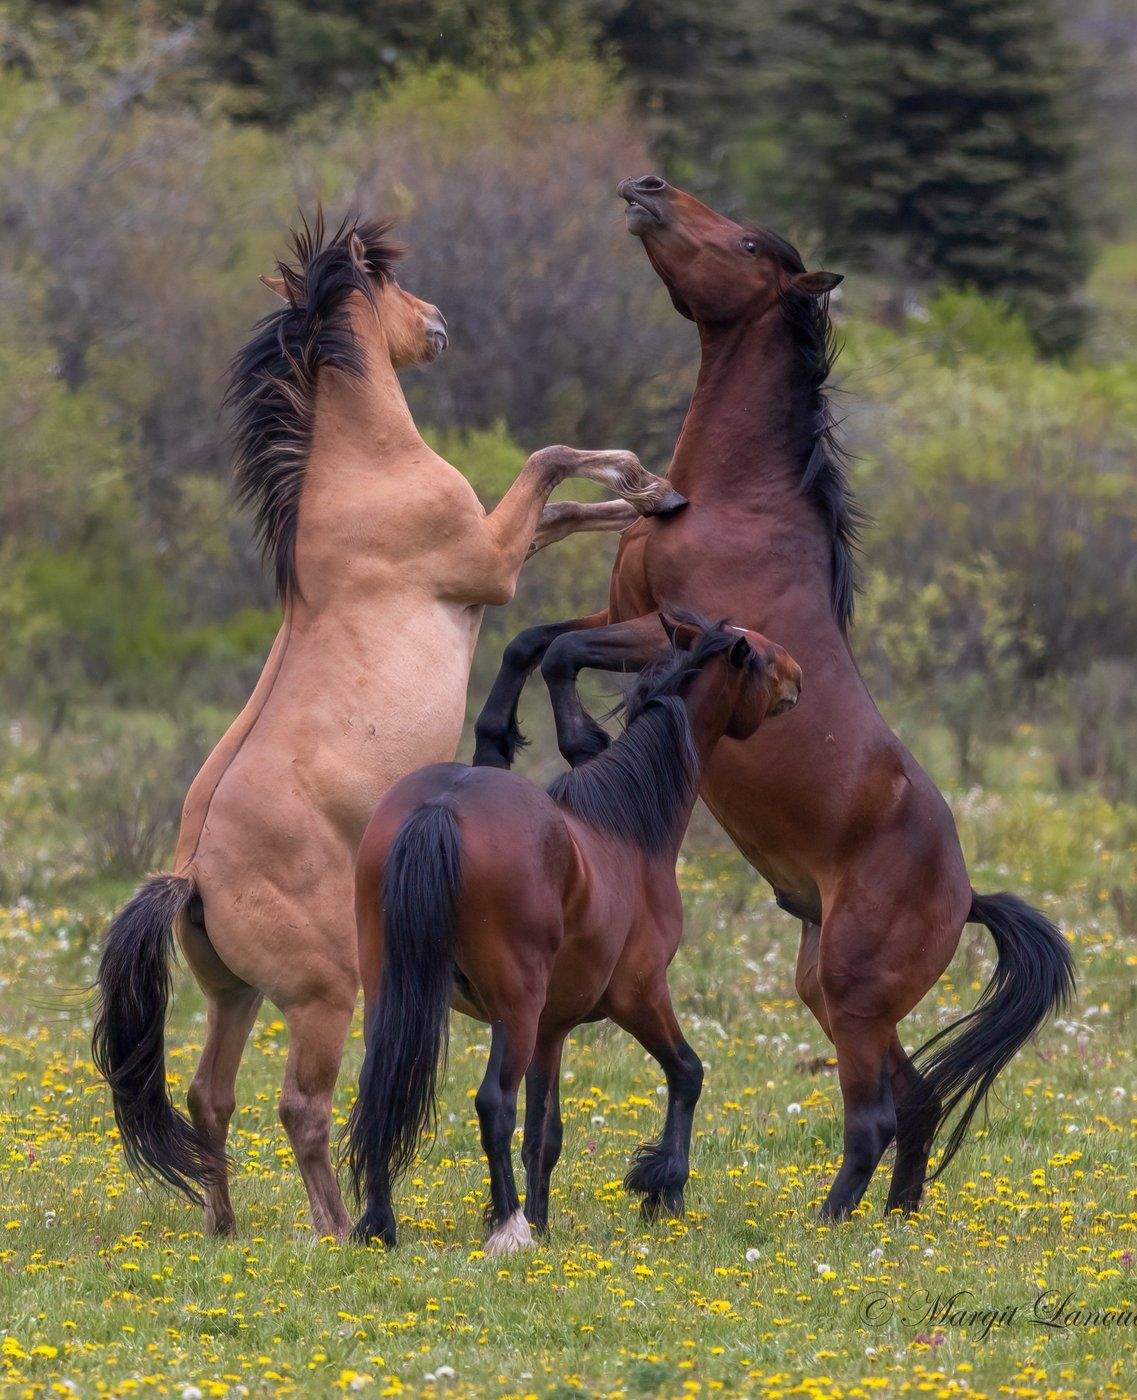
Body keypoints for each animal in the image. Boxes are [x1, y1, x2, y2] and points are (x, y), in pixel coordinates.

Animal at [92, 211, 686, 1240]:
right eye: (390, 283)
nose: (438, 321)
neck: (359, 472)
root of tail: (192, 874)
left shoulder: (500, 552)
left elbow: (568, 504)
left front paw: (648, 491)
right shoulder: (489, 562)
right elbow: (549, 467)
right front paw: (639, 479)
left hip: (235, 996)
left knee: (210, 1098)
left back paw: (227, 1228)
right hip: (327, 994)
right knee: (302, 1106)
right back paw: (343, 1231)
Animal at [346, 615, 802, 1254]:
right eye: (759, 655)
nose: (799, 676)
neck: (626, 828)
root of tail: (442, 806)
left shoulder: (553, 1028)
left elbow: (547, 1131)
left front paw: (544, 1214)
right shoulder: (640, 995)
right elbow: (688, 1073)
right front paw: (664, 1188)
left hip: (395, 995)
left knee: (383, 1087)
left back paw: (380, 1225)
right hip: (515, 1009)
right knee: (493, 1102)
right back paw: (508, 1228)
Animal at [472, 177, 1075, 1220]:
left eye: (750, 242)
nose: (646, 189)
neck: (733, 498)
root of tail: (964, 897)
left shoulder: (671, 629)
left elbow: (566, 654)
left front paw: (583, 741)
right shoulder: (627, 610)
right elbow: (532, 639)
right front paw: (497, 734)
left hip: (854, 990)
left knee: (872, 1115)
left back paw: (826, 1225)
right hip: (827, 991)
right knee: (912, 1103)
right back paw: (892, 1224)